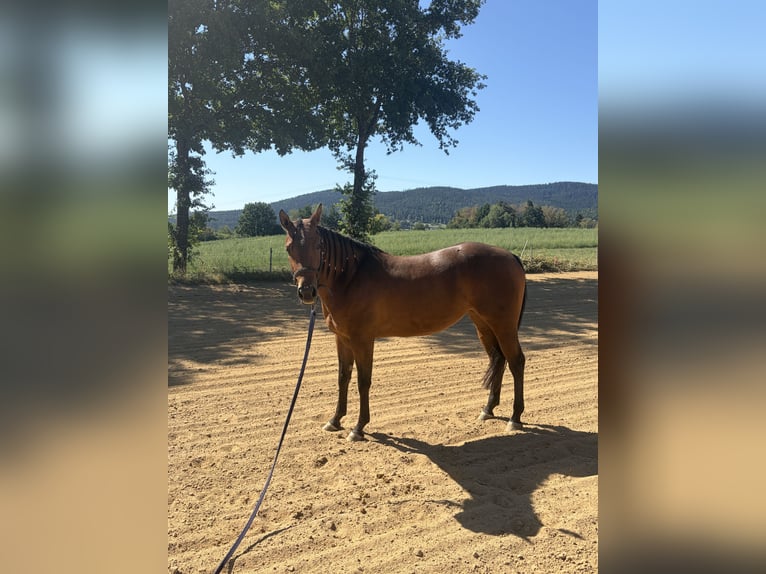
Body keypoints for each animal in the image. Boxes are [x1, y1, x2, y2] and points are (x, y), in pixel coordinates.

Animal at [279, 204, 527, 442]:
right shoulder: (342, 338)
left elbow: (363, 381)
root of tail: (511, 256)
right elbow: (343, 377)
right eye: (289, 248)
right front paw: (335, 420)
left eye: (318, 245)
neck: (351, 277)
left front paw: (358, 427)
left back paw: (514, 418)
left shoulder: (363, 340)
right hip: (483, 324)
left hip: (503, 326)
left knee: (516, 362)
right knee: (498, 359)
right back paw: (488, 409)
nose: (307, 291)